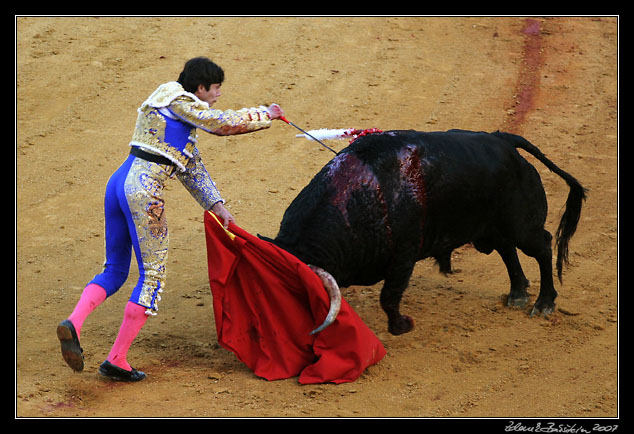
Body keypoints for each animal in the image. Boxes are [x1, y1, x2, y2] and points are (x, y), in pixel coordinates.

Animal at [258, 129, 584, 336]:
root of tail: (503, 139)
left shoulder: (404, 254)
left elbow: (389, 296)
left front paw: (401, 326)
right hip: (490, 227)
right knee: (507, 250)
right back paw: (517, 293)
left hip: (521, 225)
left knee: (541, 247)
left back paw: (544, 303)